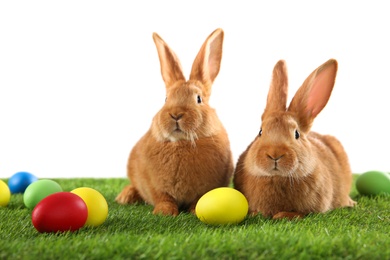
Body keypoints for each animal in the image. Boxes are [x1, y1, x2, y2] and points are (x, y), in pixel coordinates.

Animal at [114, 28, 233, 216]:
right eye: (166, 99)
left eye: (199, 99)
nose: (176, 114)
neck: (181, 143)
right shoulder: (155, 186)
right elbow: (164, 198)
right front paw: (164, 212)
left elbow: (198, 200)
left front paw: (195, 211)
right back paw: (125, 196)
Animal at [232, 58, 356, 219]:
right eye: (260, 132)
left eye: (296, 134)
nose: (275, 154)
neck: (277, 177)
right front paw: (256, 214)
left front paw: (282, 216)